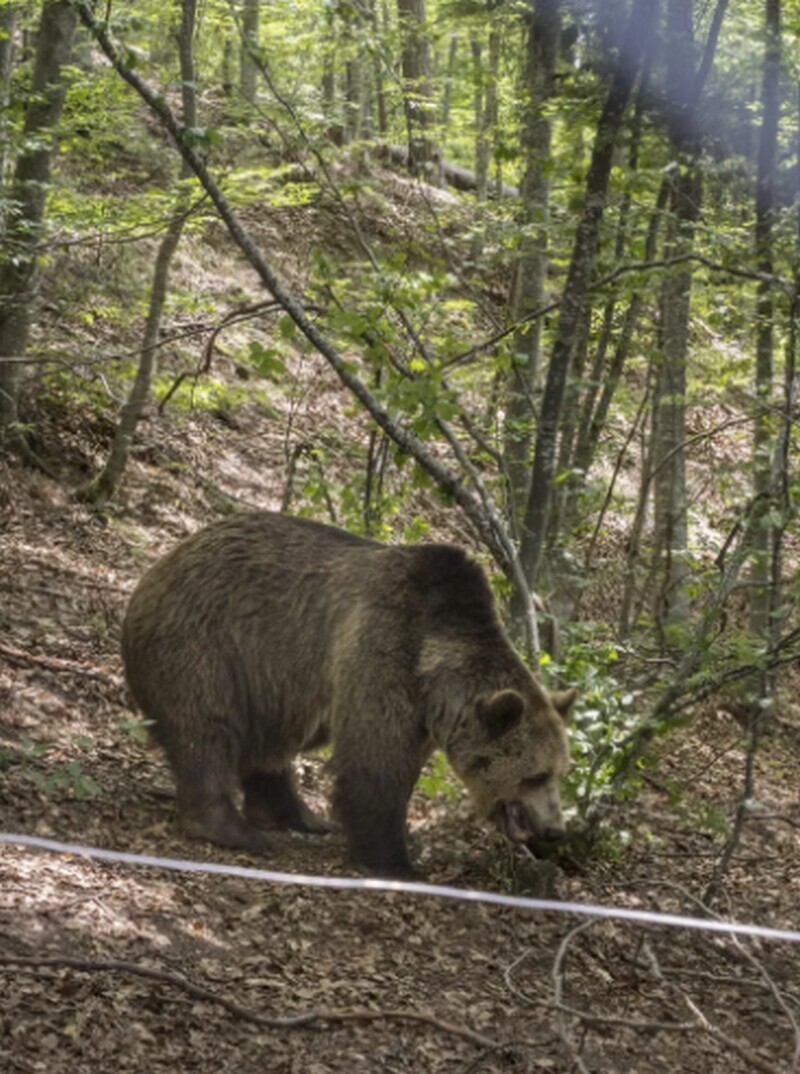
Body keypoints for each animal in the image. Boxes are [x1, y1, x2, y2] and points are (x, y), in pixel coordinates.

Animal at [121, 509, 575, 872]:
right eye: (535, 775)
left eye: (560, 772)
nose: (555, 830)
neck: (433, 671)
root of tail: (160, 565)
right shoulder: (383, 651)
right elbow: (374, 764)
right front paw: (395, 861)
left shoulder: (423, 715)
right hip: (205, 643)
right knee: (206, 727)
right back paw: (232, 827)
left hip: (270, 678)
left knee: (268, 742)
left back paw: (298, 816)